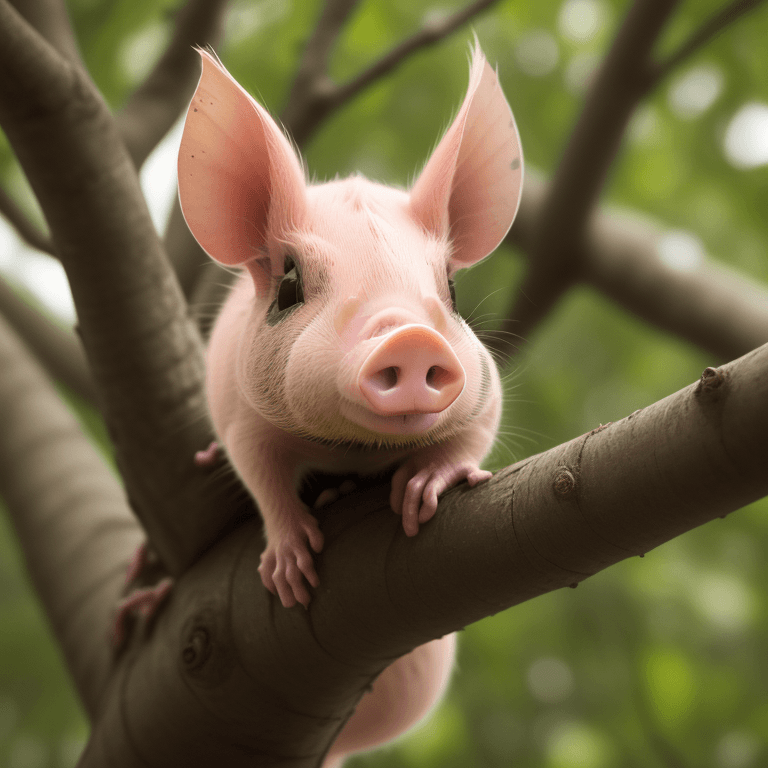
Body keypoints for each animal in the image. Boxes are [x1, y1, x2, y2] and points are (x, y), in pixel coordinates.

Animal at [178, 42, 522, 764]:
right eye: (288, 284)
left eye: (449, 289)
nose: (412, 336)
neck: (356, 449)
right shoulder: (246, 415)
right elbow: (258, 470)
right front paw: (290, 573)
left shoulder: (486, 387)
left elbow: (475, 435)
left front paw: (418, 494)